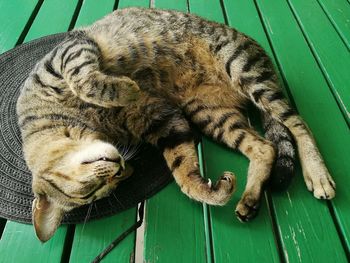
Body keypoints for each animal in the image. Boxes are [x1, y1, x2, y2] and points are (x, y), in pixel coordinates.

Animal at [17, 7, 336, 243]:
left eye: (89, 187)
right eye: (97, 190)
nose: (120, 166)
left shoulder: (72, 51)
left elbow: (86, 81)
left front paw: (126, 88)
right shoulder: (162, 118)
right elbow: (182, 167)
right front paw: (209, 192)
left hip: (243, 70)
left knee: (298, 123)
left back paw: (317, 172)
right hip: (210, 114)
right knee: (265, 147)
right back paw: (249, 199)